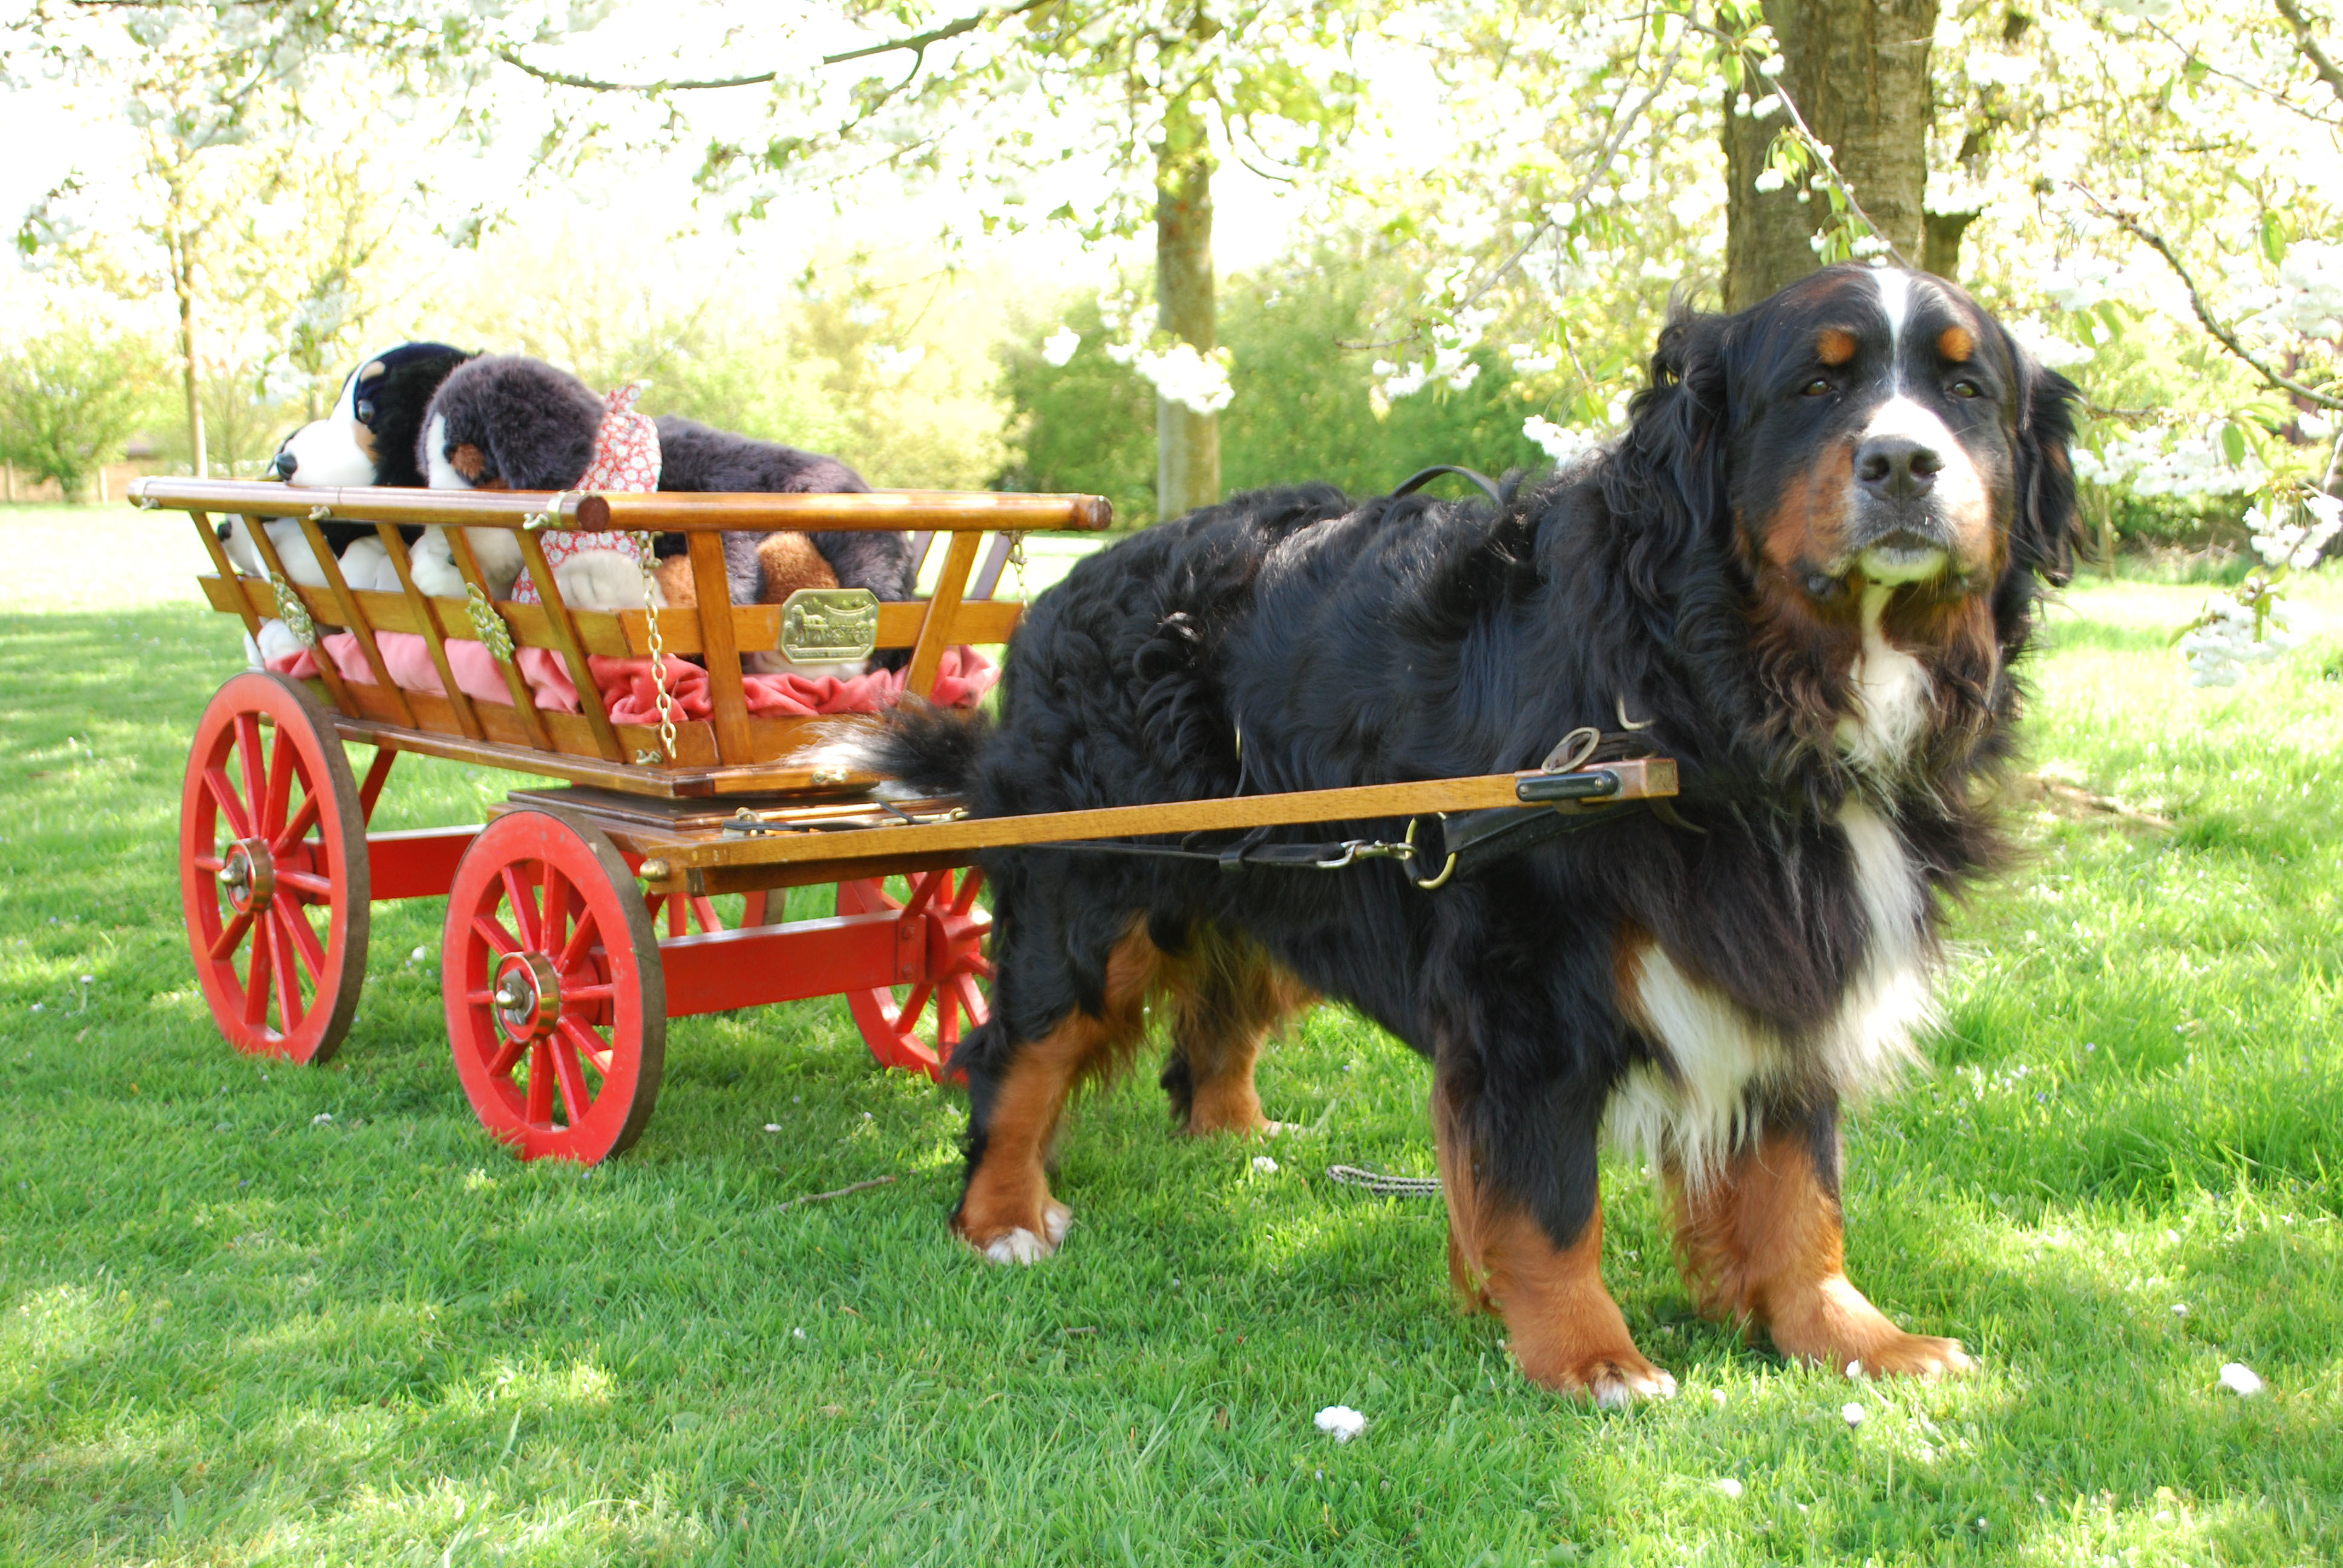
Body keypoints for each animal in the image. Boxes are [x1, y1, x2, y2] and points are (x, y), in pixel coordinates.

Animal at [839, 262, 2071, 1397]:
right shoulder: (1527, 982)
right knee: (1019, 1050)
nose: (1903, 463)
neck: (1715, 683)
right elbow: (1549, 1197)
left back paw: (1234, 1132)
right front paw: (1590, 1356)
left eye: (1964, 387)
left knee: (1216, 1022)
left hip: (1292, 873)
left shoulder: (1784, 951)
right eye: (1817, 386)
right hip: (1098, 892)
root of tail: (1061, 588)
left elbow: (1796, 1183)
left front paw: (1849, 1335)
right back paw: (1002, 1214)